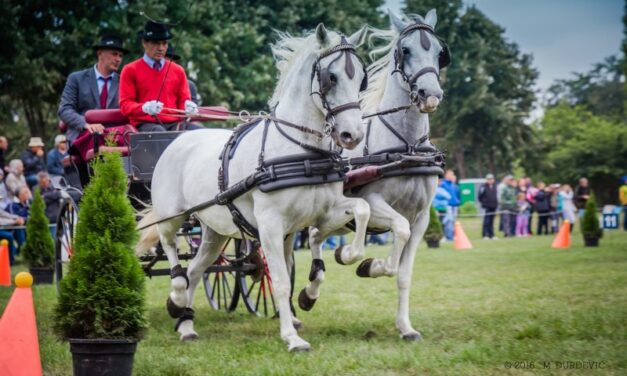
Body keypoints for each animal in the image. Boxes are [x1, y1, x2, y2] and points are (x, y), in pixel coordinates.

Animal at [136, 25, 372, 352]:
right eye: (331, 77)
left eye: (361, 77)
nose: (352, 135)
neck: (302, 150)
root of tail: (179, 139)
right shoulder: (271, 224)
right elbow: (281, 280)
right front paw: (292, 337)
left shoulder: (320, 214)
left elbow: (362, 210)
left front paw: (345, 257)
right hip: (173, 217)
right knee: (172, 254)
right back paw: (176, 297)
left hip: (214, 231)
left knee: (196, 270)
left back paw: (185, 323)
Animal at [302, 10, 448, 342]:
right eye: (405, 50)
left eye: (439, 52)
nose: (431, 95)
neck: (406, 147)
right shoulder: (376, 203)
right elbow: (399, 229)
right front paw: (368, 265)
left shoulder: (422, 218)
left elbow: (403, 273)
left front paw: (406, 327)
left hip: (335, 218)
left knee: (316, 237)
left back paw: (313, 287)